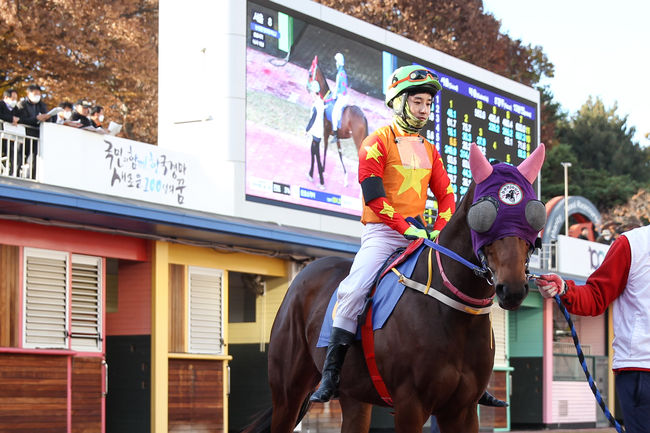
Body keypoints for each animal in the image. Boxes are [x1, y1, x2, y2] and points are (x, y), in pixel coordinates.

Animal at [242, 143, 540, 430]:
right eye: (484, 212)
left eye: (534, 212)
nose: (512, 288)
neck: (451, 312)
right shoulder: (410, 404)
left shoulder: (462, 410)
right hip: (288, 392)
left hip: (354, 396)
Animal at [306, 54, 368, 186]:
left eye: (310, 74)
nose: (307, 88)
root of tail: (363, 116)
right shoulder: (336, 135)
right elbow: (340, 153)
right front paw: (345, 177)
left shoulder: (325, 132)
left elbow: (324, 149)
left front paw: (322, 170)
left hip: (358, 140)